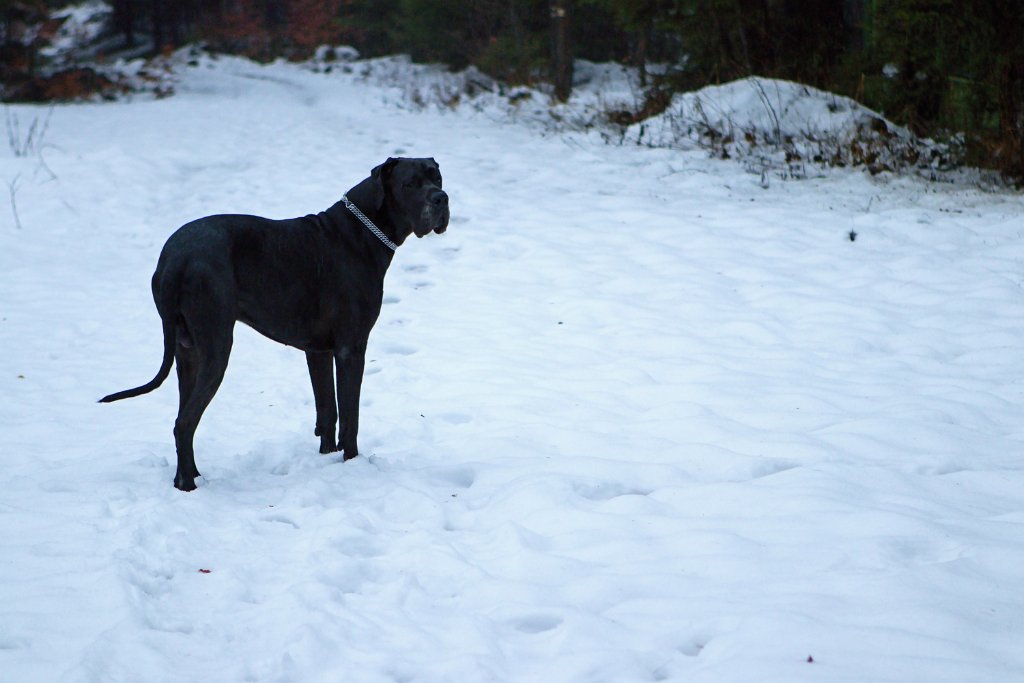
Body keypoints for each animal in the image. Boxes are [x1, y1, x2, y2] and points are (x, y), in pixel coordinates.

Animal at [101, 158, 450, 491]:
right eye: (410, 183)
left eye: (437, 177)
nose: (441, 198)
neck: (360, 232)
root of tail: (174, 258)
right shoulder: (351, 349)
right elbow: (351, 416)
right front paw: (352, 463)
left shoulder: (318, 351)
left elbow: (328, 410)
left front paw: (327, 458)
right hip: (215, 349)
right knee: (184, 423)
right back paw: (188, 486)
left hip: (187, 354)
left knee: (183, 416)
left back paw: (188, 476)